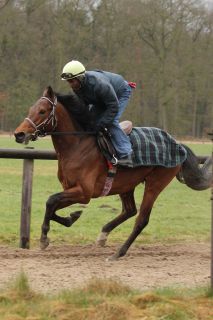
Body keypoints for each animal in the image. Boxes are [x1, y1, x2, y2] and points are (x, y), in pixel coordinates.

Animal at [14, 85, 212, 260]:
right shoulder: (71, 190)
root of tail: (178, 144)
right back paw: (103, 235)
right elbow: (53, 205)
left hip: (155, 184)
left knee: (141, 219)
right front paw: (72, 217)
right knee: (130, 210)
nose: (19, 134)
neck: (78, 145)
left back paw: (118, 253)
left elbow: (50, 201)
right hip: (126, 184)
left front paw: (44, 238)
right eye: (31, 109)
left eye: (42, 111)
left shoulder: (84, 193)